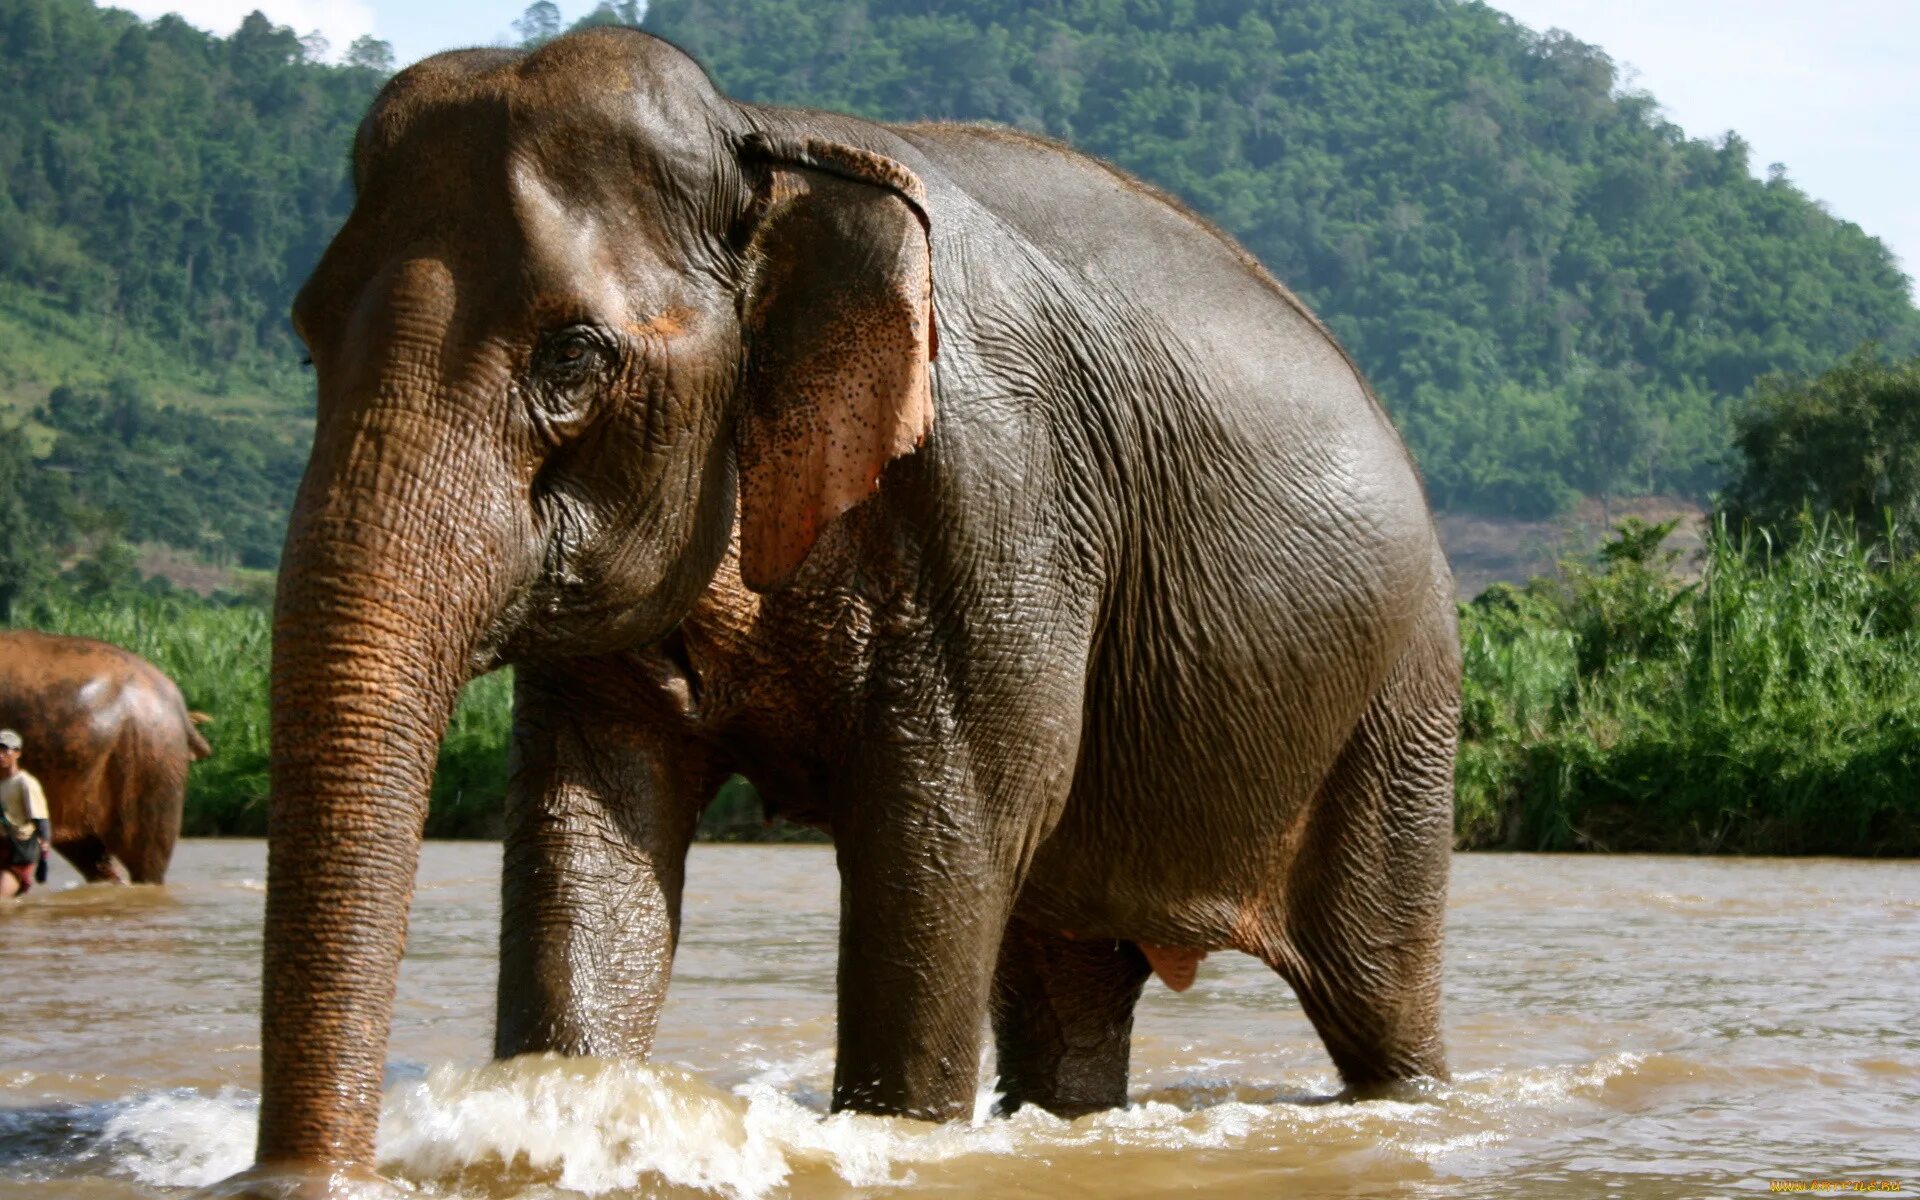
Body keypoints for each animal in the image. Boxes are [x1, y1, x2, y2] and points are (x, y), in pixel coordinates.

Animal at [228, 25, 1451, 1190]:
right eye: (306, 337)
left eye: (573, 358)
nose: (294, 1185)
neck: (761, 137)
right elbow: (588, 829)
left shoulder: (1005, 496)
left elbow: (942, 833)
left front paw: (898, 1135)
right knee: (1066, 987)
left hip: (1400, 707)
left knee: (1376, 989)